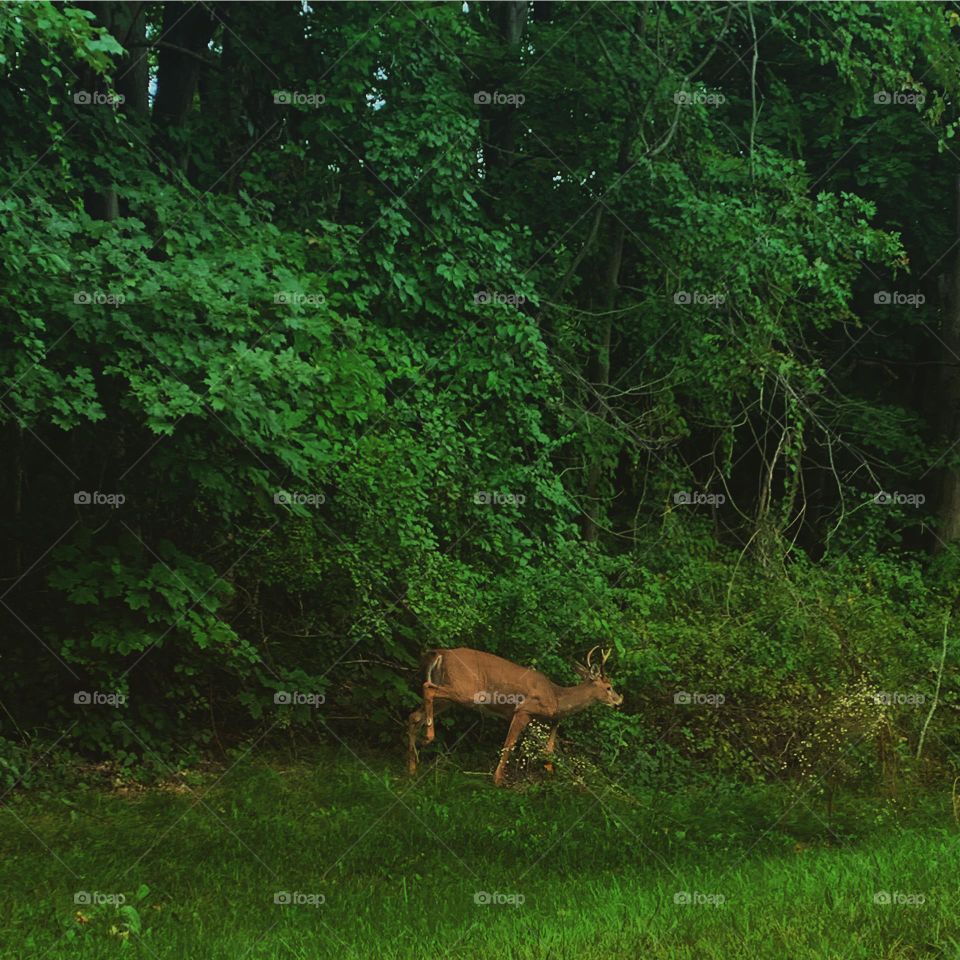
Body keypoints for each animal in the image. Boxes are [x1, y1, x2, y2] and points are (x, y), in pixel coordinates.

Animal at [406, 645, 623, 786]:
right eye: (609, 687)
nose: (619, 700)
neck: (556, 696)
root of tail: (441, 653)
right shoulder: (523, 710)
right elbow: (509, 744)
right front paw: (498, 780)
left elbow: (548, 743)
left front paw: (547, 767)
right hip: (464, 690)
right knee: (427, 689)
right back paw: (427, 739)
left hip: (449, 695)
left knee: (414, 716)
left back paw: (412, 768)